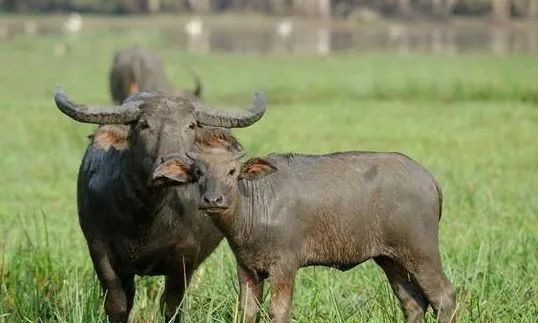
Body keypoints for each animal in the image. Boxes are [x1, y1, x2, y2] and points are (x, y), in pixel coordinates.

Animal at [53, 87, 264, 322]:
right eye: (144, 125)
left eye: (191, 125)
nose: (173, 162)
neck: (146, 216)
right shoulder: (100, 249)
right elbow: (118, 305)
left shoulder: (185, 257)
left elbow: (172, 306)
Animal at [165, 151, 454, 323]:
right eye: (199, 173)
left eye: (232, 172)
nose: (213, 200)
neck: (255, 208)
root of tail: (429, 179)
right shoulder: (246, 268)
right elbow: (246, 311)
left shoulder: (284, 266)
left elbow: (278, 311)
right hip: (390, 258)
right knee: (413, 302)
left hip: (421, 251)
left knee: (444, 296)